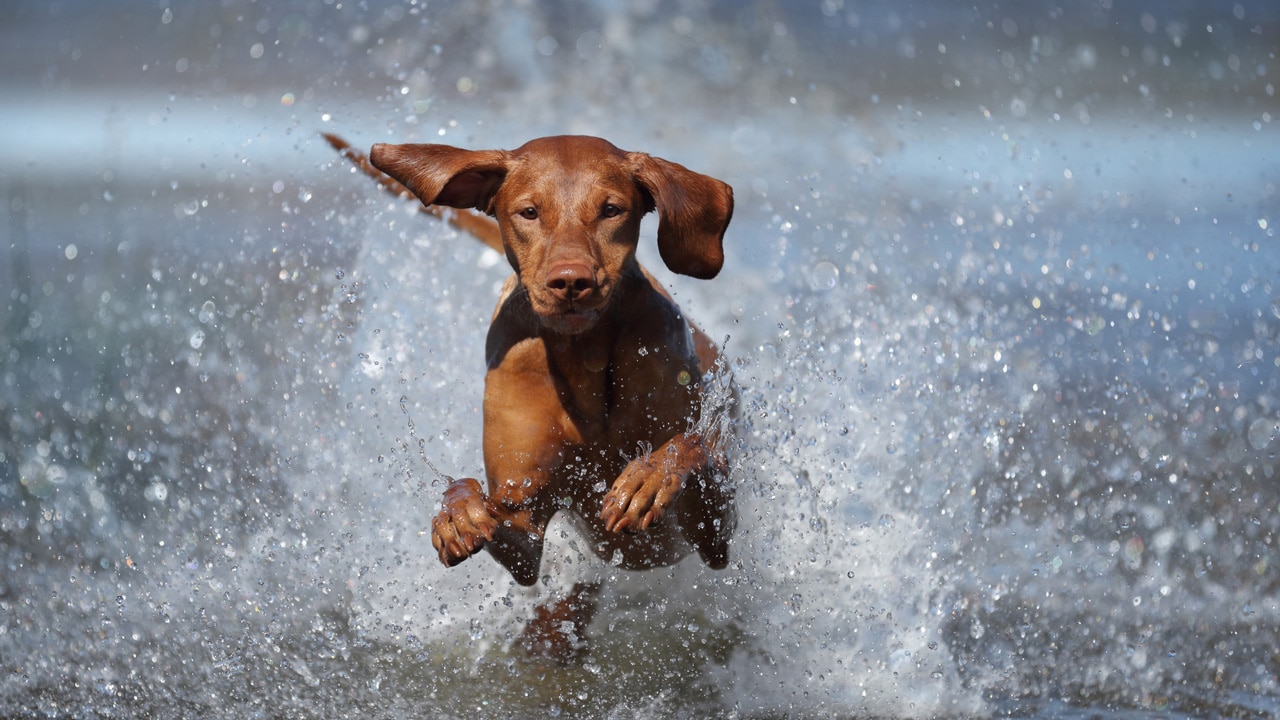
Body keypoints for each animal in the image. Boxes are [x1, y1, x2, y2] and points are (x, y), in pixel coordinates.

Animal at [325, 131, 737, 661]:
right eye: (528, 212)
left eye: (611, 210)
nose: (571, 281)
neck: (583, 358)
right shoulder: (523, 523)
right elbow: (480, 503)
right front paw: (456, 513)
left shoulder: (716, 539)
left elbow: (692, 446)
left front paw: (648, 477)